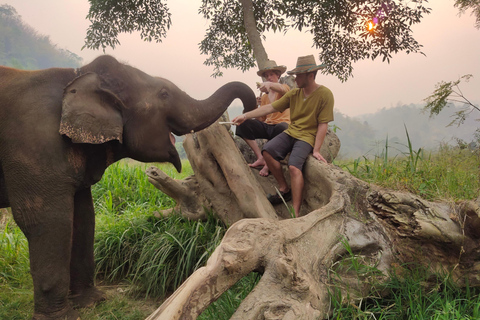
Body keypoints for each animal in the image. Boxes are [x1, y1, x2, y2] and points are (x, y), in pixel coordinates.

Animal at [0, 55, 256, 320]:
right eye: (164, 93)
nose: (244, 118)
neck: (77, 75)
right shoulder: (34, 146)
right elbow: (45, 220)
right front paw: (63, 317)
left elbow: (83, 217)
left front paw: (92, 302)